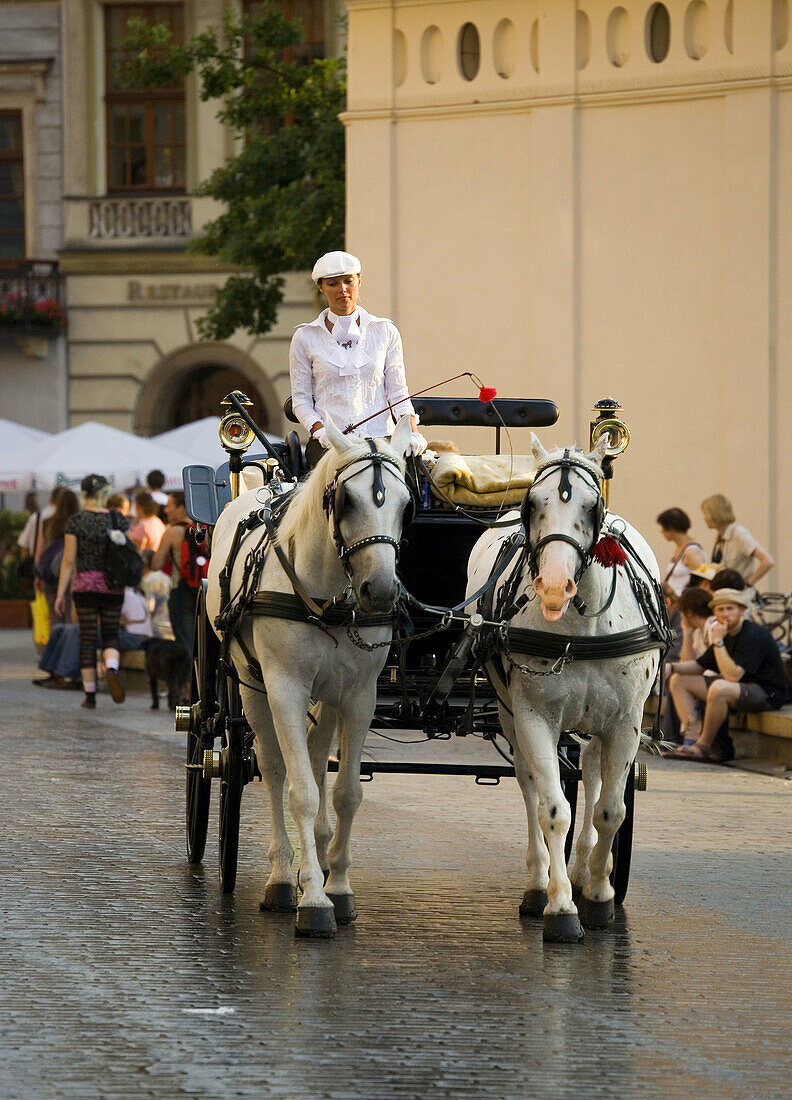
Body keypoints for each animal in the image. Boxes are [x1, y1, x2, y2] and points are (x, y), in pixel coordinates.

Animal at [204, 413, 413, 937]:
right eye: (347, 500)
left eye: (407, 505)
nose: (381, 590)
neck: (328, 596)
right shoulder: (286, 688)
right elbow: (299, 791)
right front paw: (313, 900)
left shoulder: (359, 696)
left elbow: (345, 793)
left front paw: (336, 886)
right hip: (251, 685)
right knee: (274, 768)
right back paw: (283, 877)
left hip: (328, 697)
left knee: (318, 760)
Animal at [466, 437, 664, 946]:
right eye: (530, 504)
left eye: (592, 506)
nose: (554, 587)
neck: (583, 625)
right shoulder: (533, 717)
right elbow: (553, 809)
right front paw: (560, 906)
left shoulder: (625, 723)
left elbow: (610, 810)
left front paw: (598, 892)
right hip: (510, 715)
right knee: (531, 787)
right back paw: (543, 882)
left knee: (591, 772)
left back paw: (586, 868)